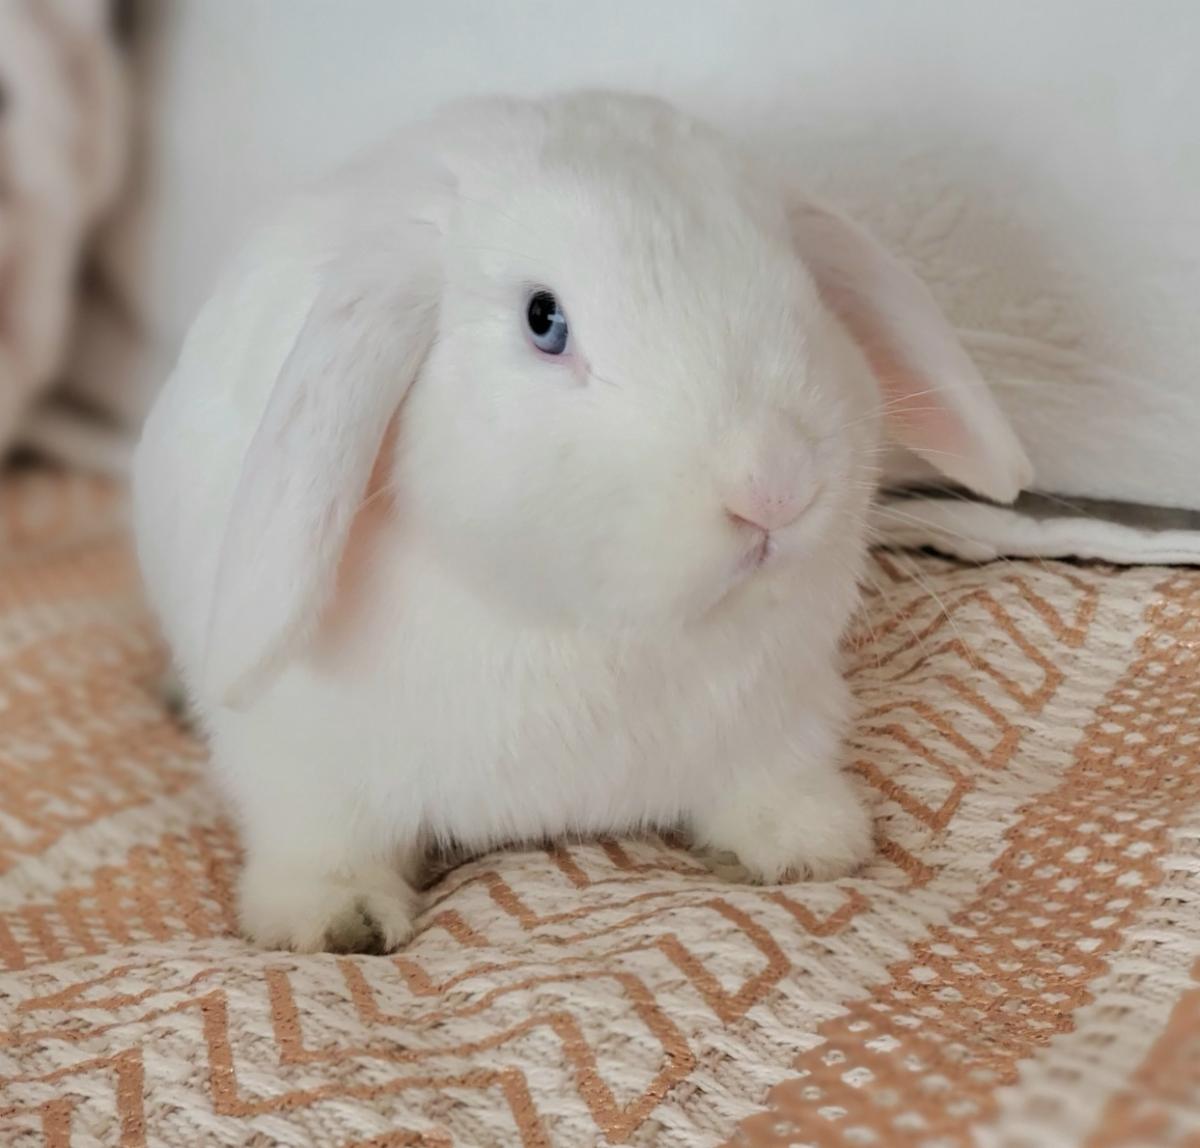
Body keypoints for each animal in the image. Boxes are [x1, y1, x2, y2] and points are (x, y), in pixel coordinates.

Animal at [132, 90, 1031, 954]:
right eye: (543, 319)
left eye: (804, 289)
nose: (777, 487)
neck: (591, 628)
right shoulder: (306, 767)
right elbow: (324, 842)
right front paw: (331, 919)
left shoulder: (778, 720)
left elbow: (769, 785)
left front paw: (808, 843)